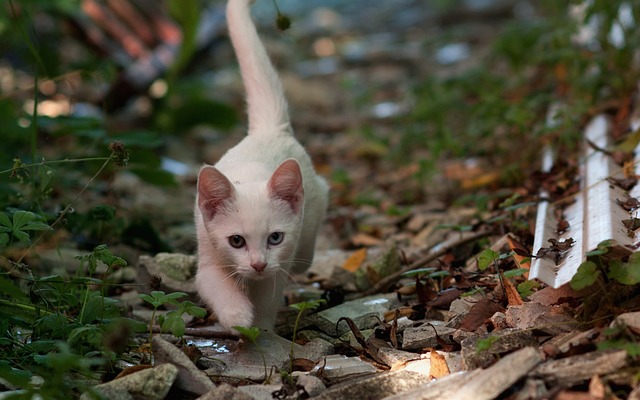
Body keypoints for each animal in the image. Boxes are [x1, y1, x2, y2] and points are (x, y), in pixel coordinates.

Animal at [194, 0, 324, 332]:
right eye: (236, 240)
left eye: (275, 237)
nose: (258, 263)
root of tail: (269, 129)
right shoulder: (207, 252)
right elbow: (216, 285)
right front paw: (237, 316)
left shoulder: (278, 267)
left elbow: (268, 297)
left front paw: (261, 330)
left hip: (314, 207)